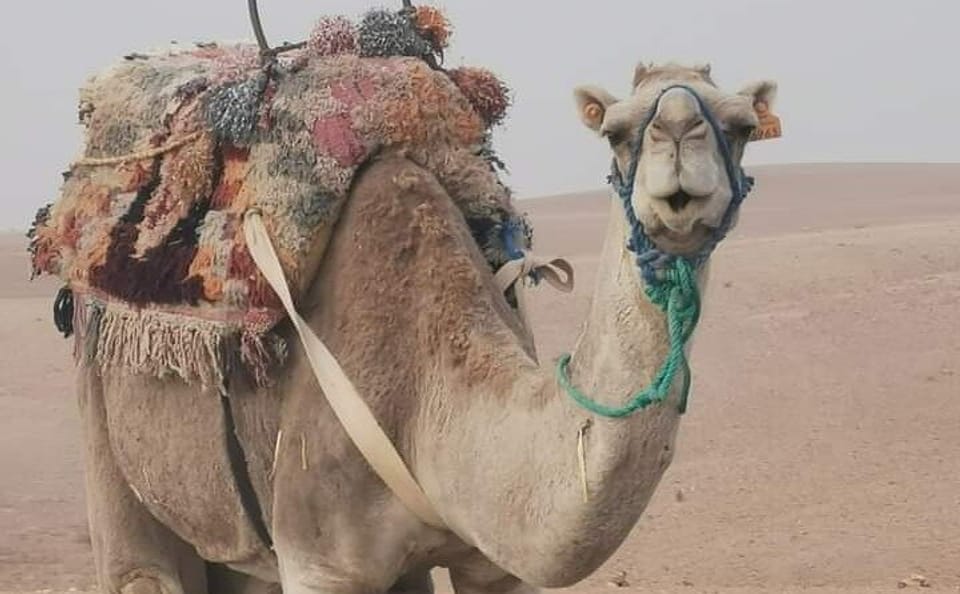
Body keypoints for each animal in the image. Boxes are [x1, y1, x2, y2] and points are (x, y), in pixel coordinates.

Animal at [74, 60, 778, 594]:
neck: (426, 395)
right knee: (141, 566)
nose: (680, 133)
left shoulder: (492, 563)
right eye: (615, 131)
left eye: (743, 126)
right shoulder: (320, 562)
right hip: (106, 432)